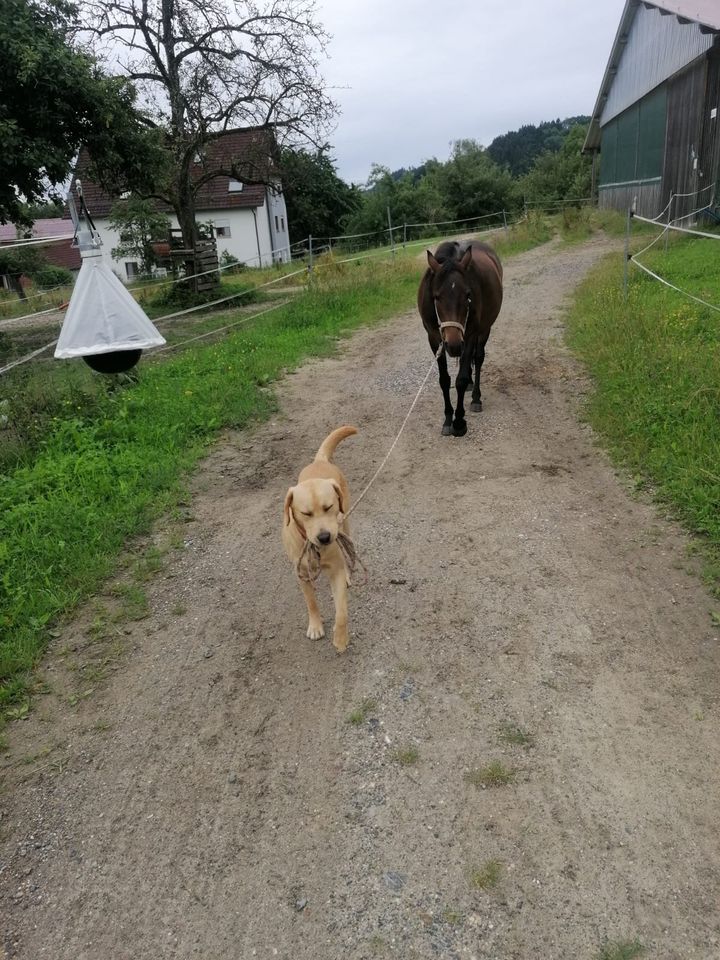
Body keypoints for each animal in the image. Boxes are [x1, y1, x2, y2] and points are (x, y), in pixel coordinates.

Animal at [282, 426, 358, 652]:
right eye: (305, 513)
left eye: (328, 507)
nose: (324, 537)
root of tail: (320, 460)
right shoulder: (301, 574)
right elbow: (311, 602)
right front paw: (315, 626)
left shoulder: (335, 570)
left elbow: (341, 612)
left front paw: (340, 638)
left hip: (345, 523)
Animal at [420, 240, 504, 436]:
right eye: (436, 297)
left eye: (467, 295)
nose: (454, 344)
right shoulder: (434, 339)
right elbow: (445, 380)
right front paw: (447, 419)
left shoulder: (471, 335)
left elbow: (461, 378)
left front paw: (458, 422)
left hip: (484, 330)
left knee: (478, 358)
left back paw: (476, 397)